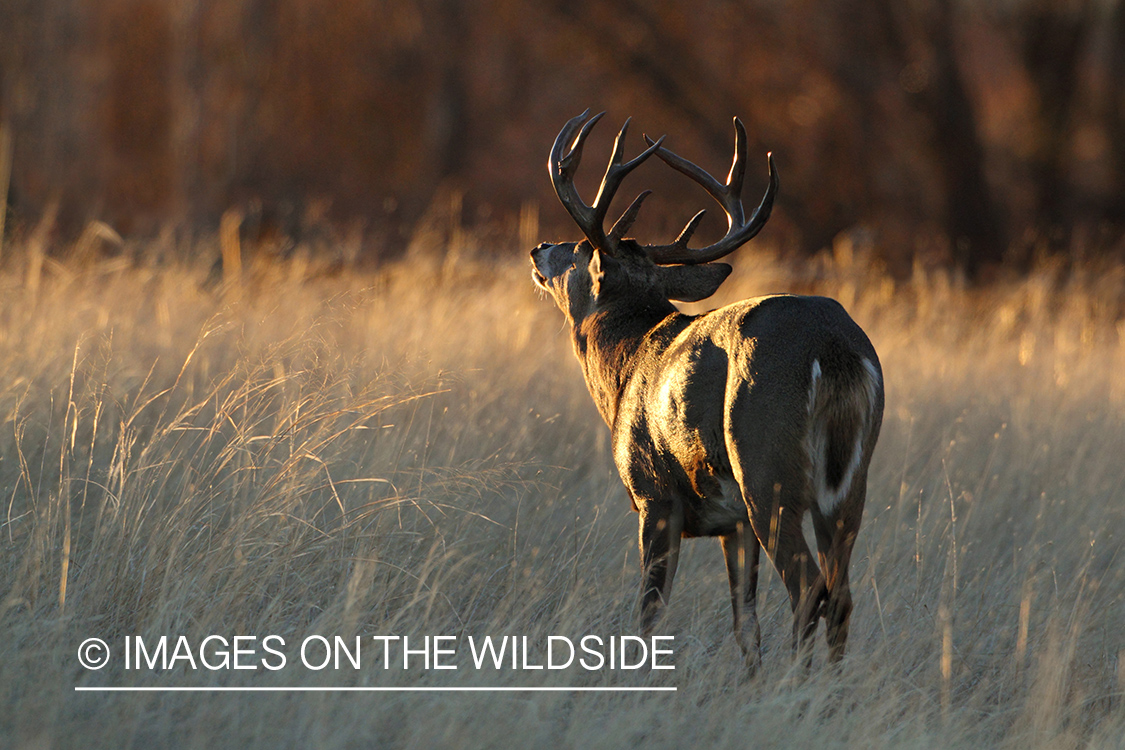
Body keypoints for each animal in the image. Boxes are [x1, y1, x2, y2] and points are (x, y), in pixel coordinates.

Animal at [531, 108, 882, 665]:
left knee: (809, 587)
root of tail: (833, 348)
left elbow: (649, 612)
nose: (540, 247)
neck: (625, 368)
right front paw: (750, 676)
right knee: (842, 593)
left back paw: (798, 682)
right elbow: (745, 623)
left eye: (579, 249)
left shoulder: (654, 494)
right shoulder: (731, 523)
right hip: (849, 485)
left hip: (765, 466)